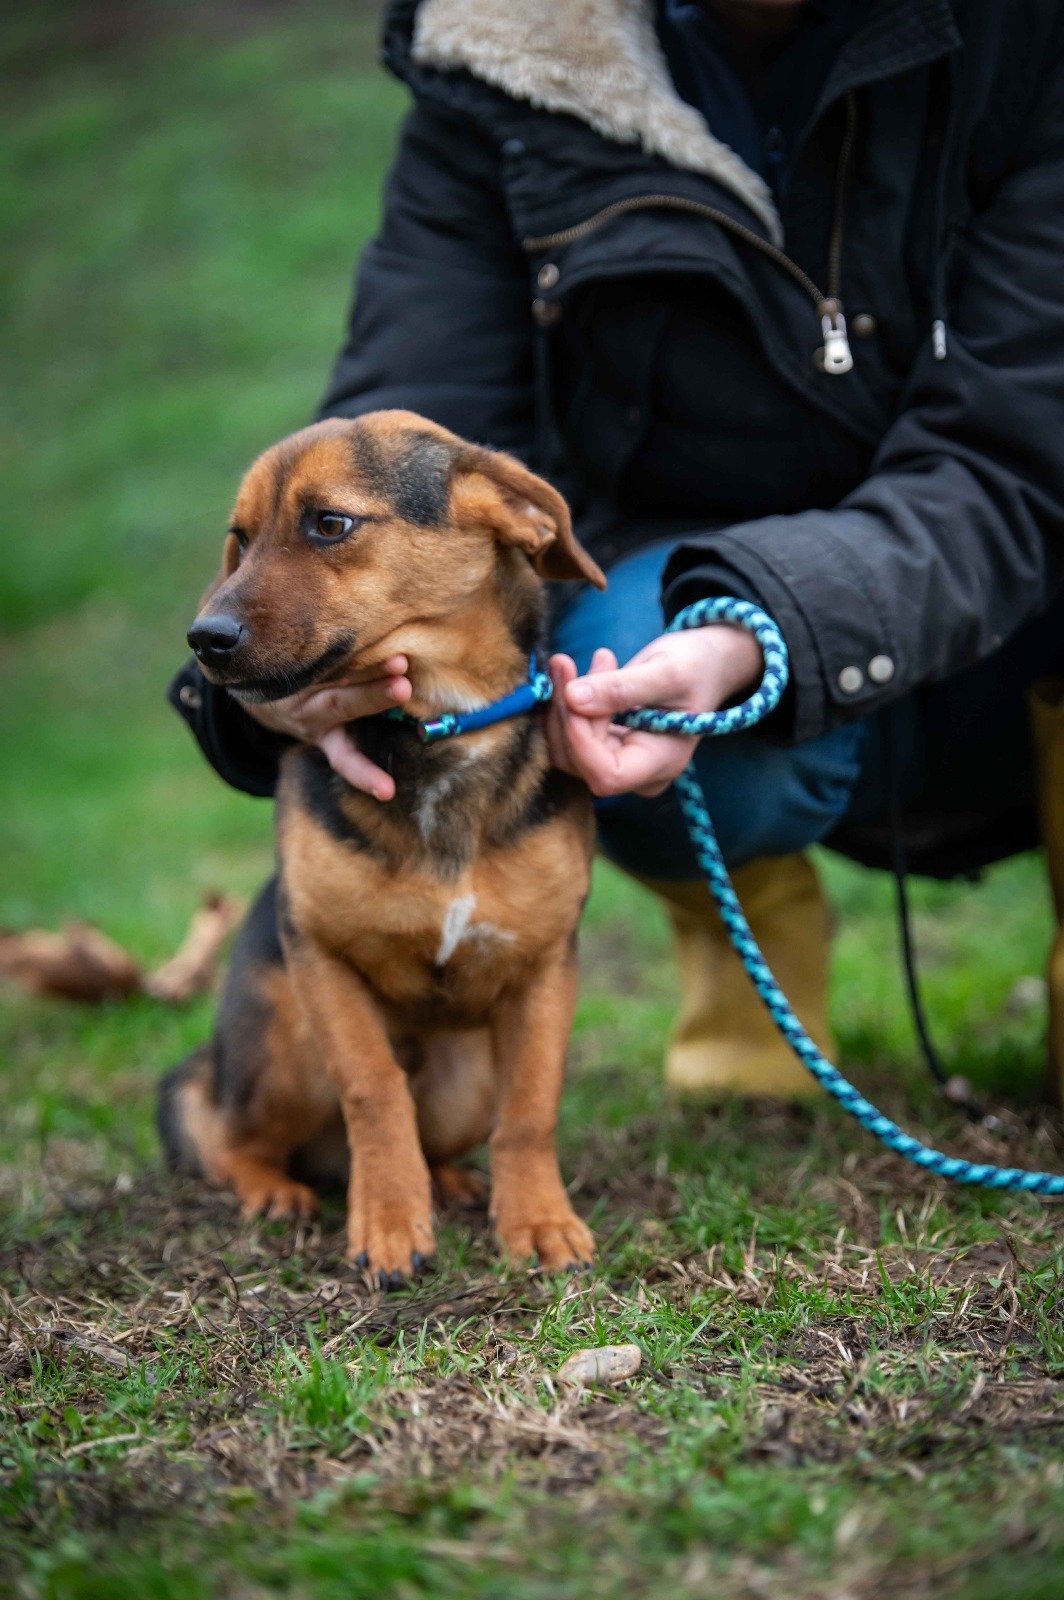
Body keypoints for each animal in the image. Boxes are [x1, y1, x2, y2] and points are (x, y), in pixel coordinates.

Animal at [159, 411, 607, 1283]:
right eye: (240, 539)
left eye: (329, 524)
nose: (203, 638)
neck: (439, 727)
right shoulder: (322, 956)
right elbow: (373, 1091)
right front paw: (393, 1223)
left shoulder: (546, 965)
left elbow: (531, 1109)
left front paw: (536, 1221)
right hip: (283, 1043)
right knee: (223, 1131)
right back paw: (275, 1189)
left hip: (467, 1077)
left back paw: (454, 1181)